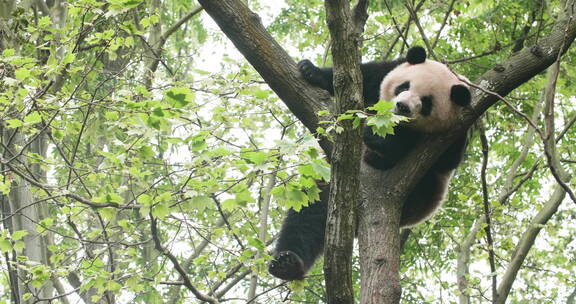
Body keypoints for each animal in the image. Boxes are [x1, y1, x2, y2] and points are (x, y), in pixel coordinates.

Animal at [268, 46, 470, 282]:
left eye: (427, 103)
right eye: (404, 86)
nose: (402, 107)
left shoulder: (455, 130)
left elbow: (441, 159)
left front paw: (380, 138)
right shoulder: (384, 74)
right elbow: (363, 77)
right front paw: (311, 70)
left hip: (425, 194)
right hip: (324, 185)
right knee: (306, 218)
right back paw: (286, 263)